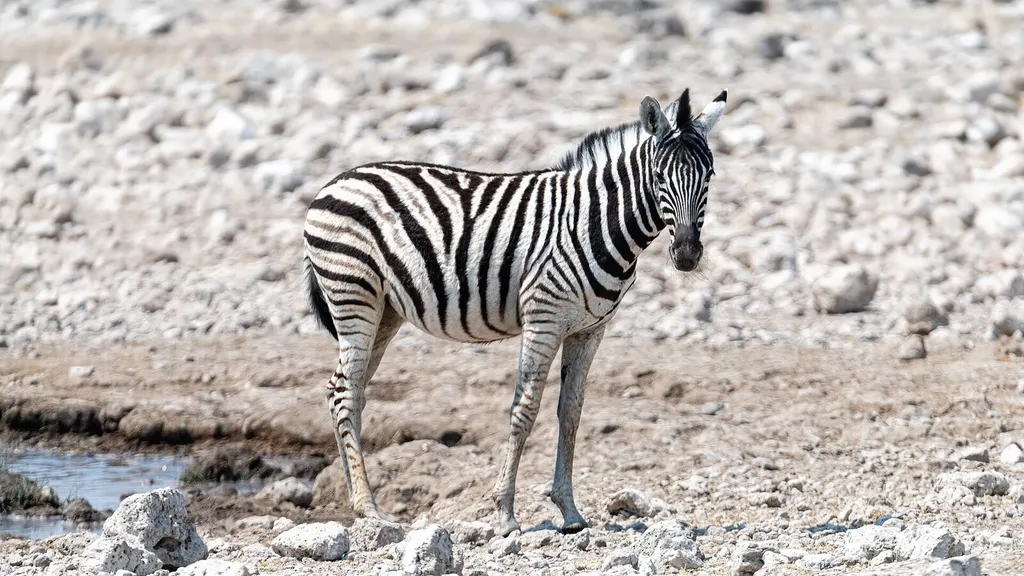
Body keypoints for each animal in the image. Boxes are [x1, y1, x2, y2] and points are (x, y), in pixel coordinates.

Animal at [302, 87, 727, 536]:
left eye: (710, 176)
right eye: (660, 176)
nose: (687, 254)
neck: (596, 222)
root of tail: (336, 181)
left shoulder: (590, 330)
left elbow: (571, 412)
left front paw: (570, 512)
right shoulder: (543, 320)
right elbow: (524, 411)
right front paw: (505, 513)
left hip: (385, 311)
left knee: (345, 393)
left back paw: (354, 497)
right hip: (354, 297)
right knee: (345, 392)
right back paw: (368, 506)